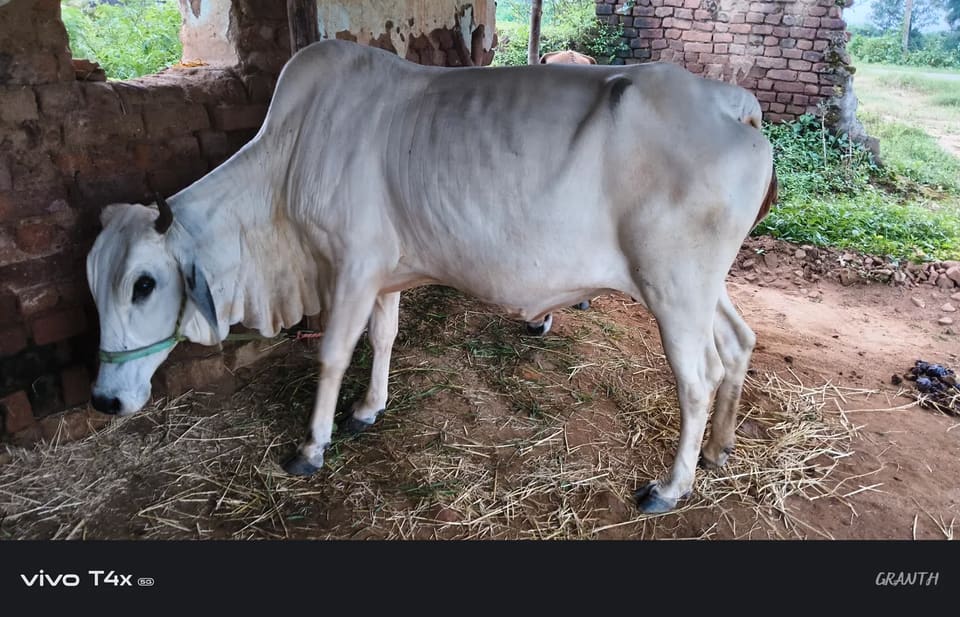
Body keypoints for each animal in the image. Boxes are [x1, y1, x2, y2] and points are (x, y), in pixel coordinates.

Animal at [86, 40, 777, 514]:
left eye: (143, 284)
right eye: (94, 286)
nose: (104, 400)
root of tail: (731, 102)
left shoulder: (351, 265)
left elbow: (333, 354)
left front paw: (312, 447)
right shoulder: (384, 274)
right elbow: (383, 337)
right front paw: (368, 408)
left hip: (672, 288)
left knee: (699, 376)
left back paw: (671, 486)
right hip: (700, 288)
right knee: (739, 344)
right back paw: (719, 448)